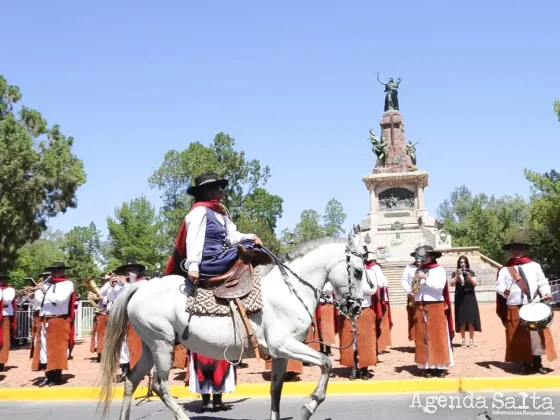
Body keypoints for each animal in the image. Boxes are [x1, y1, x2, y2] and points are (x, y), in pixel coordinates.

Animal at [98, 235, 366, 420]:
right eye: (358, 271)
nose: (356, 306)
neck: (290, 290)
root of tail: (141, 287)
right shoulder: (285, 345)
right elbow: (326, 362)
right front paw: (309, 406)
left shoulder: (280, 354)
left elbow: (276, 390)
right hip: (162, 345)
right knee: (159, 386)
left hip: (149, 347)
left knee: (131, 380)